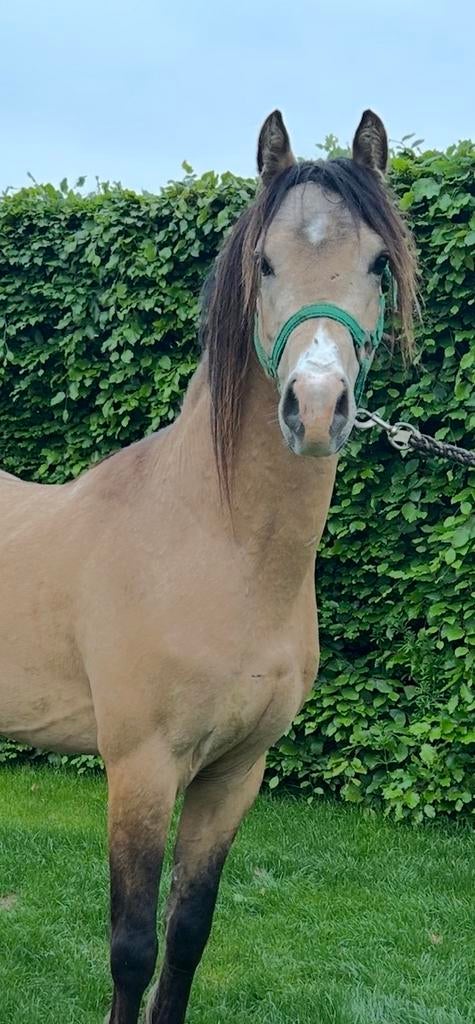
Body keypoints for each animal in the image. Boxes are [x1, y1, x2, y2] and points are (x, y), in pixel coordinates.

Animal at [0, 109, 417, 1023]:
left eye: (377, 262)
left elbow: (186, 937)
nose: (317, 409)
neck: (217, 547)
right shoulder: (142, 770)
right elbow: (131, 948)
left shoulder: (233, 776)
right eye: (263, 263)